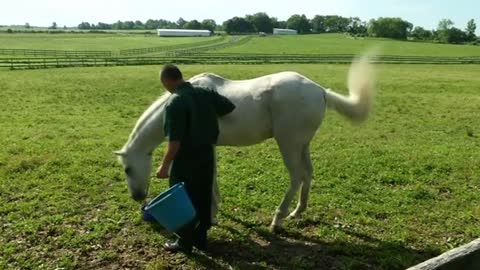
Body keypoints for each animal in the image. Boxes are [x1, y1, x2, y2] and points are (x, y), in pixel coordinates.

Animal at [117, 56, 376, 231]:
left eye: (127, 169)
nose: (137, 197)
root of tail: (320, 91)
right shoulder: (211, 147)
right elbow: (214, 176)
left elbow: (210, 177)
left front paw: (212, 214)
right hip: (303, 145)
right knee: (308, 173)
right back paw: (296, 212)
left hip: (289, 144)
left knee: (296, 177)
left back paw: (278, 219)